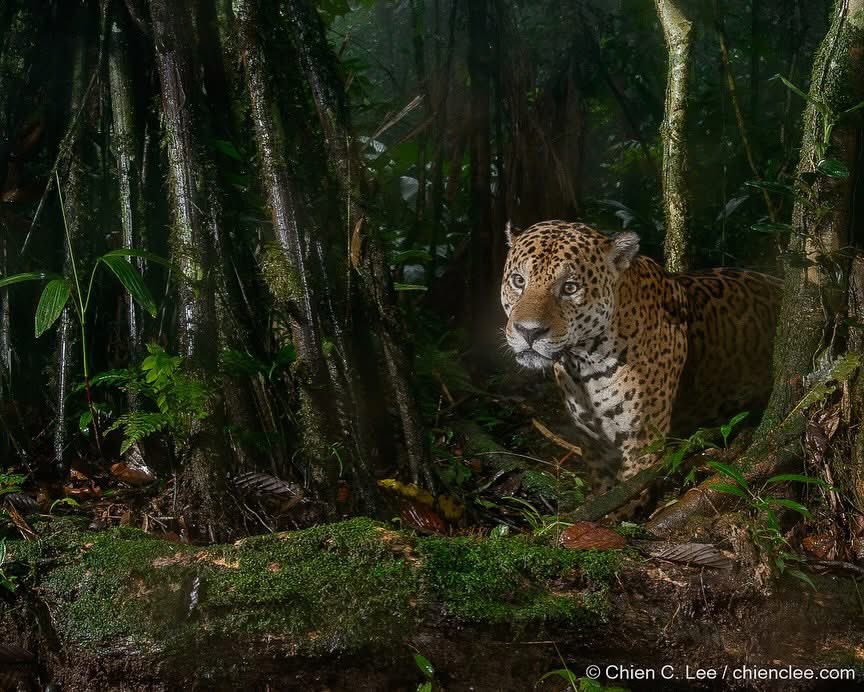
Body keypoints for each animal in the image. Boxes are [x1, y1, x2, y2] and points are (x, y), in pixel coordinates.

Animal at [501, 220, 782, 494]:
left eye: (570, 288)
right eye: (518, 281)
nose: (529, 331)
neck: (582, 365)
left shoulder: (642, 443)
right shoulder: (593, 444)